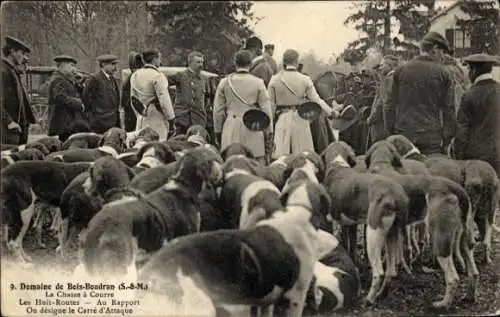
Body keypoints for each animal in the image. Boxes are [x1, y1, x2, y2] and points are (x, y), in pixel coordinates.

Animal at [322, 141, 408, 304]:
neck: (338, 165)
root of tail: (394, 194)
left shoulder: (329, 221)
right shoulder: (350, 224)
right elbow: (351, 247)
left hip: (373, 235)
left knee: (379, 272)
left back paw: (369, 299)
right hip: (391, 235)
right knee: (390, 271)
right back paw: (382, 294)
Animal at [366, 139, 478, 308]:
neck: (382, 165)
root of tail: (457, 189)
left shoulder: (375, 231)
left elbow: (380, 271)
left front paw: (371, 297)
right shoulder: (392, 232)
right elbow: (390, 269)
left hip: (440, 241)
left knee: (453, 278)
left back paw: (443, 304)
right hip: (464, 240)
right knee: (474, 272)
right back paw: (469, 296)